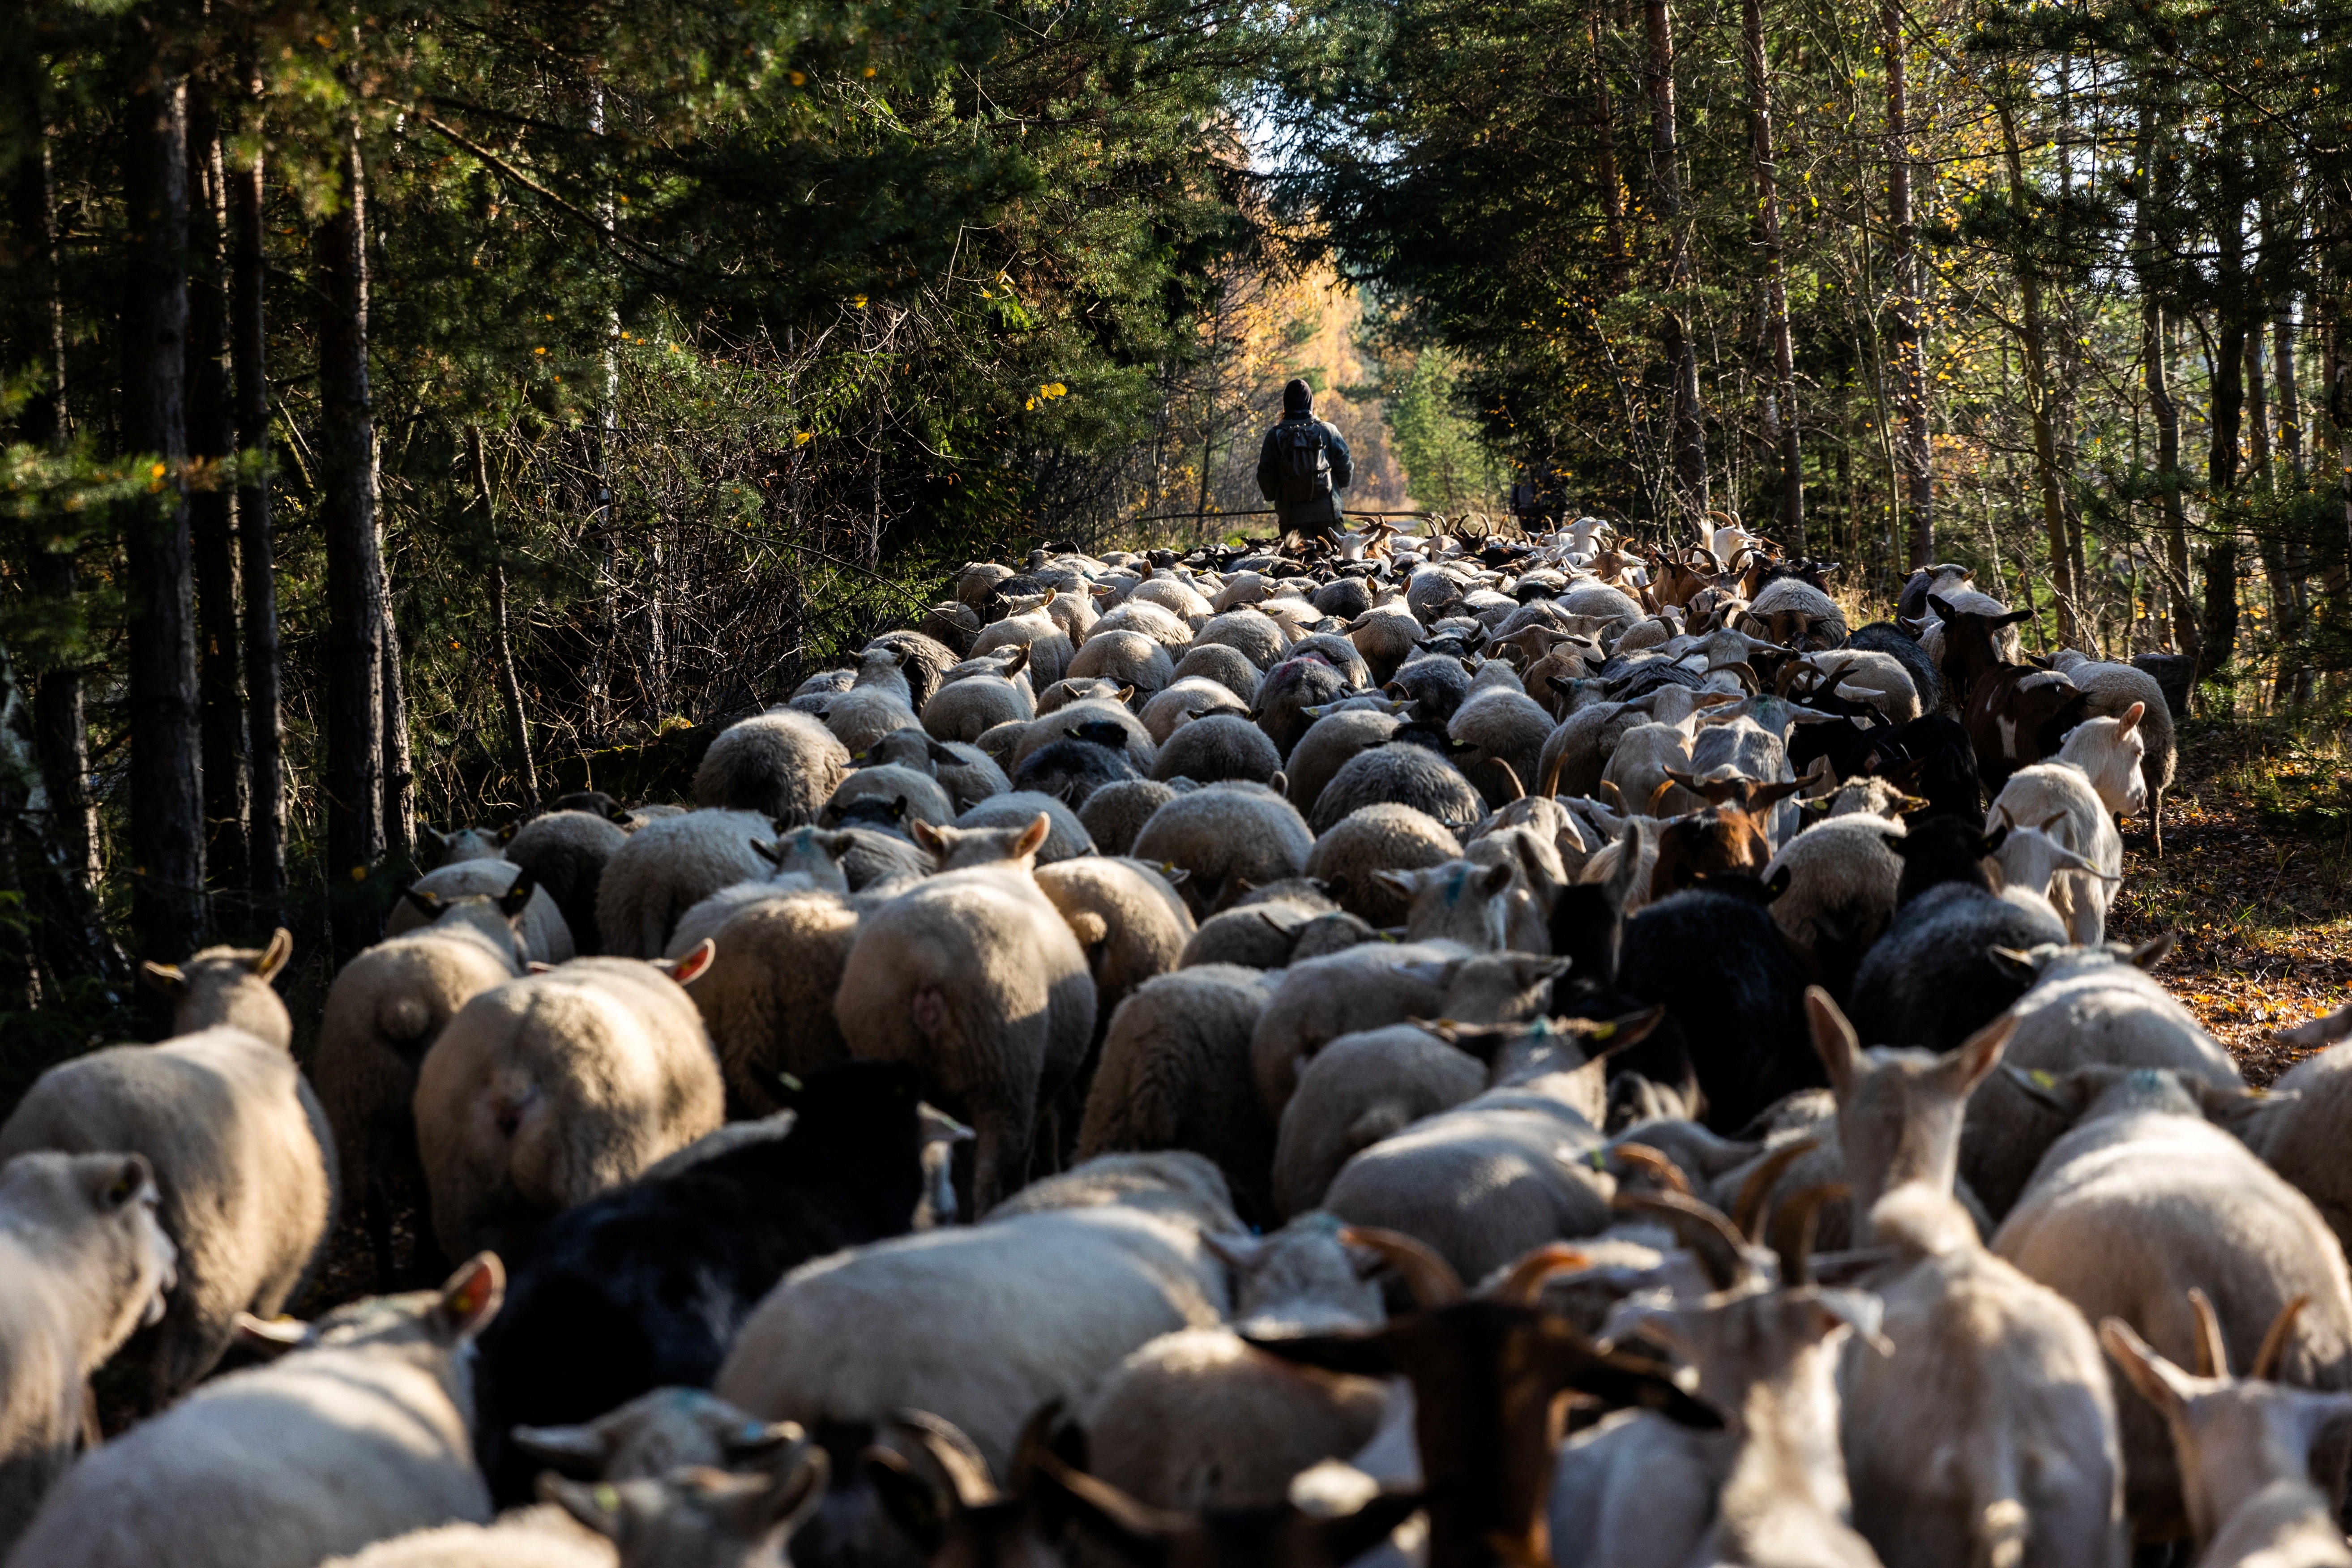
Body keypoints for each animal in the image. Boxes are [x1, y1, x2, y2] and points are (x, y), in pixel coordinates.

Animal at [834, 814, 1097, 1212]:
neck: (984, 863)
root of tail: (927, 961)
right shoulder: (1045, 1081)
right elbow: (1040, 1137)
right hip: (1003, 1067)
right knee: (994, 1166)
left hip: (885, 1049)